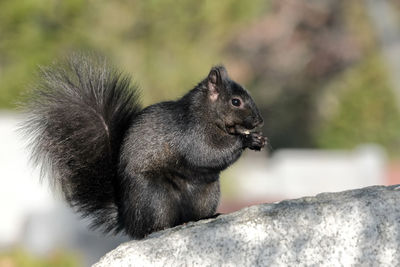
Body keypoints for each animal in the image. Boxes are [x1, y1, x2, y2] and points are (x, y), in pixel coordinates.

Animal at [22, 54, 266, 239]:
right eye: (235, 101)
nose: (259, 121)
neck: (207, 114)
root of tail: (128, 219)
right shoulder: (192, 134)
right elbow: (207, 154)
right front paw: (247, 140)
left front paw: (258, 139)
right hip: (155, 197)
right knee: (151, 227)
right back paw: (161, 228)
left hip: (207, 193)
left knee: (192, 215)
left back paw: (207, 217)